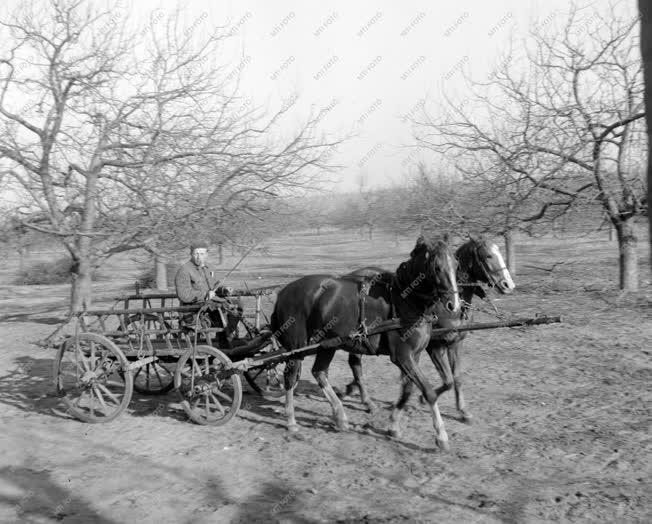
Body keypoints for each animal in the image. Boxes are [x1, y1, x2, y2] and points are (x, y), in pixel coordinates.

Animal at [342, 235, 516, 432]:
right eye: (488, 256)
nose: (508, 285)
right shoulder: (434, 346)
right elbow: (447, 380)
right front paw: (422, 399)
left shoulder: (455, 343)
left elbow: (456, 378)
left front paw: (463, 412)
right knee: (355, 363)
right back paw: (365, 399)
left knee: (355, 362)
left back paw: (356, 393)